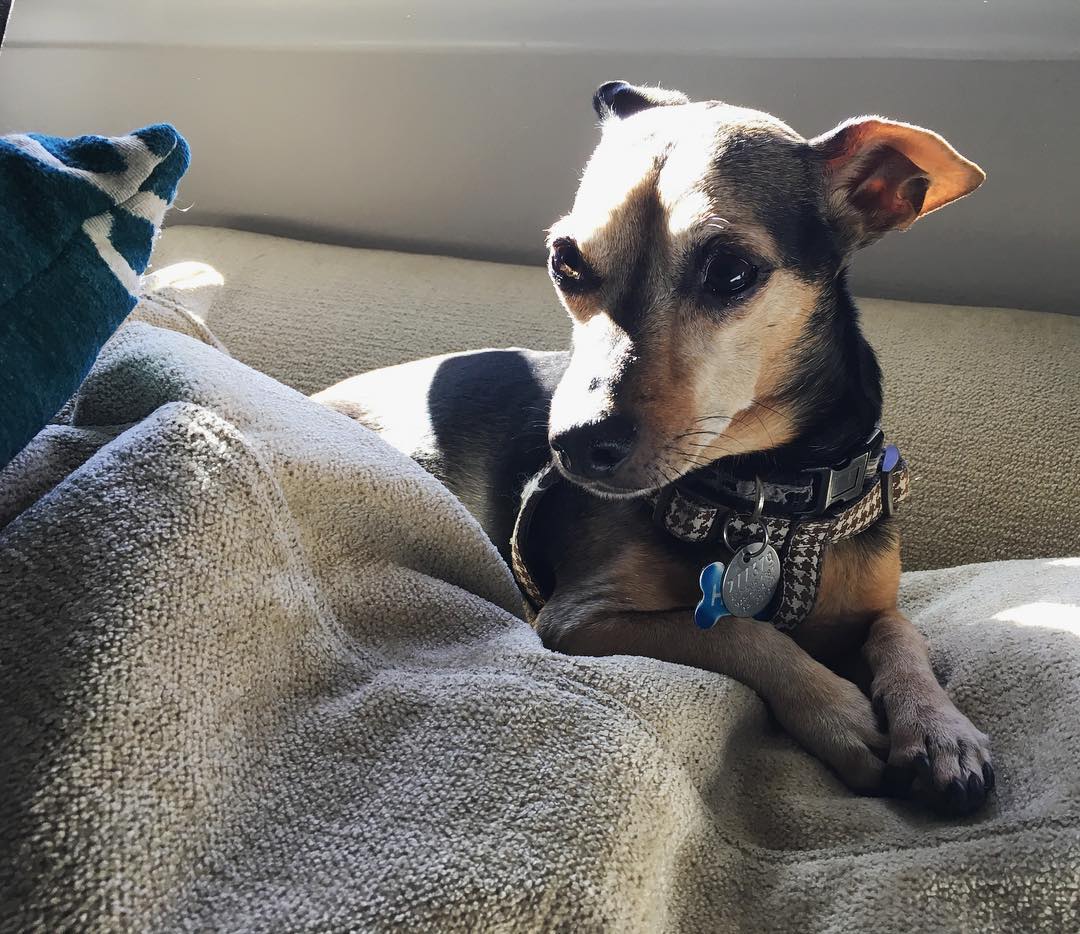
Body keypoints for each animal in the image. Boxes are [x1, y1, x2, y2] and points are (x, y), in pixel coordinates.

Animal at [315, 79, 993, 811]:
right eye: (565, 263)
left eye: (730, 270)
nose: (573, 444)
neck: (766, 492)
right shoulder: (578, 618)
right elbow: (736, 629)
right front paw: (840, 712)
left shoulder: (871, 605)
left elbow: (901, 633)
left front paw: (940, 730)